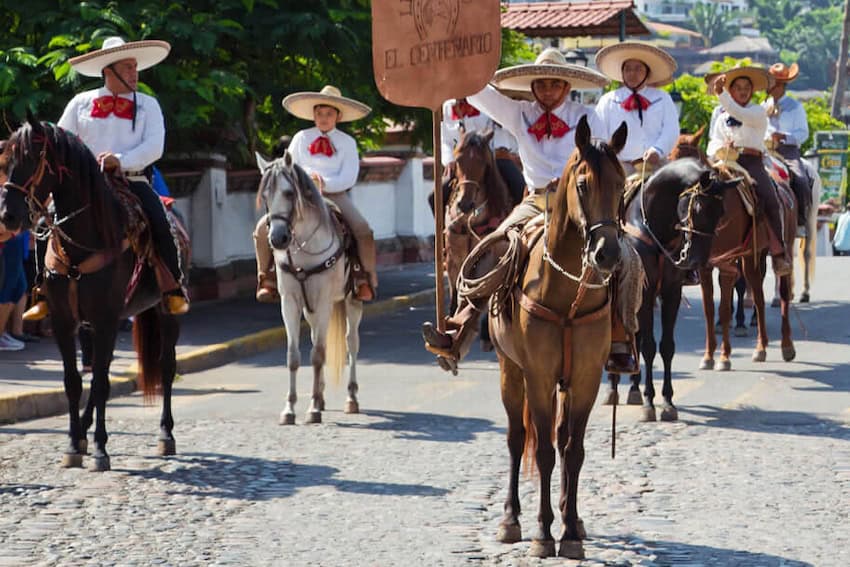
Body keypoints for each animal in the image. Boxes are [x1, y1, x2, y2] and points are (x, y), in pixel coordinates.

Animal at [0, 117, 186, 472]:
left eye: (31, 159)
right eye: (5, 160)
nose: (8, 217)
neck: (82, 242)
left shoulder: (105, 319)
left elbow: (99, 385)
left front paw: (101, 450)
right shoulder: (66, 321)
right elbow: (74, 382)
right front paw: (74, 444)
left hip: (167, 312)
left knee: (166, 366)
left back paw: (165, 435)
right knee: (104, 372)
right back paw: (85, 431)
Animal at [253, 152, 362, 426]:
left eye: (289, 193)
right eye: (265, 195)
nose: (277, 238)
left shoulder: (323, 302)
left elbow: (318, 355)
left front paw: (312, 409)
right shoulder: (290, 303)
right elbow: (294, 356)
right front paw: (290, 409)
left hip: (351, 302)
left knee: (351, 343)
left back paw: (351, 399)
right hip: (311, 310)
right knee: (316, 340)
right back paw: (321, 396)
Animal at [486, 117, 628, 560]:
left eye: (621, 184)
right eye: (582, 184)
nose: (607, 254)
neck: (566, 296)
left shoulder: (585, 379)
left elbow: (573, 450)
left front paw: (569, 530)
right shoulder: (538, 377)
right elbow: (545, 451)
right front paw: (543, 533)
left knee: (562, 439)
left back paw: (573, 519)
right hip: (510, 372)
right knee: (517, 439)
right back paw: (511, 519)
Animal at [668, 130, 796, 368]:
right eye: (670, 158)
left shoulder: (727, 262)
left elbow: (725, 308)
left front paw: (724, 357)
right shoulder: (706, 266)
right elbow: (710, 309)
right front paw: (709, 356)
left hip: (785, 248)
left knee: (782, 292)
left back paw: (786, 346)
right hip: (752, 255)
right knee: (758, 295)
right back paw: (761, 347)